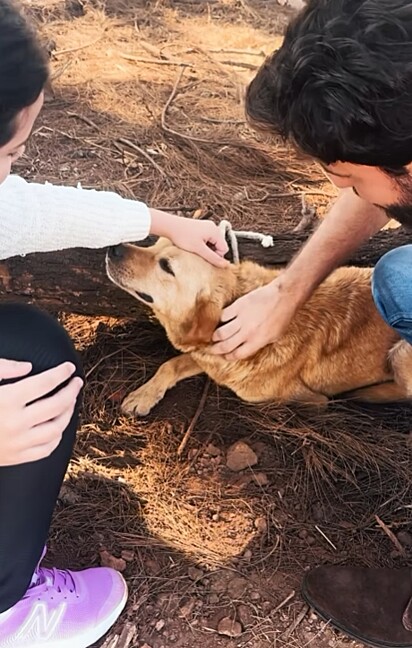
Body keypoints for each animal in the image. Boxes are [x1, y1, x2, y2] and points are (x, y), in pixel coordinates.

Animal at [105, 238, 412, 416]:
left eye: (166, 266)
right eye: (155, 242)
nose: (113, 248)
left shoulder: (305, 398)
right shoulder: (213, 357)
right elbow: (170, 364)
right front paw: (144, 395)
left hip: (400, 352)